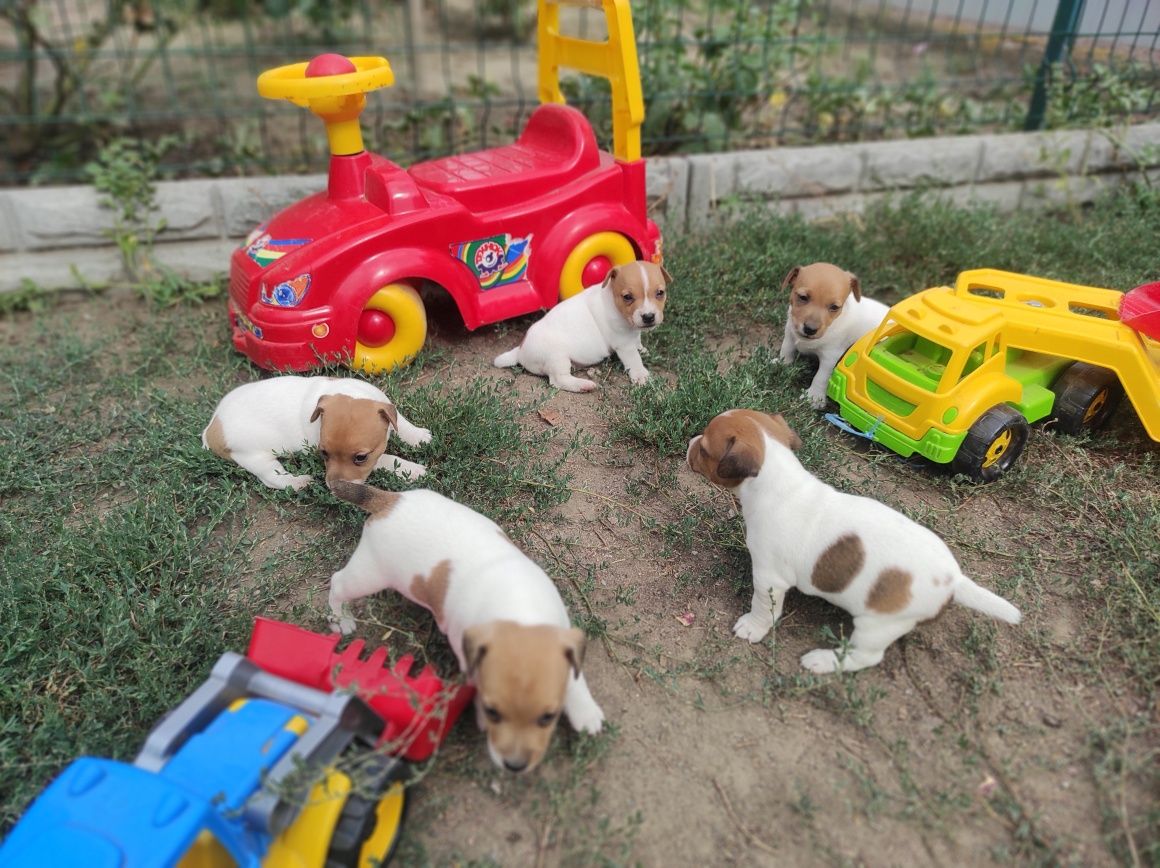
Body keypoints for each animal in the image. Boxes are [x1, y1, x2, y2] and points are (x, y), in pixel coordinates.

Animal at [203, 375, 431, 492]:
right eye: (324, 453)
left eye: (360, 458)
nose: (334, 488)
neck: (352, 394)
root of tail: (211, 429)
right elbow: (385, 459)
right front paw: (411, 469)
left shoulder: (386, 407)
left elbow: (401, 422)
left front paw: (419, 436)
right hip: (255, 457)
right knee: (271, 477)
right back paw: (298, 482)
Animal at [322, 480, 603, 775]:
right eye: (493, 713)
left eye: (548, 717)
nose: (514, 766)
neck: (518, 611)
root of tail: (389, 500)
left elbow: (575, 678)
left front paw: (585, 710)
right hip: (368, 576)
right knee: (338, 583)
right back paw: (340, 618)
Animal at [491, 259, 672, 392]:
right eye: (627, 297)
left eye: (660, 293)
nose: (648, 317)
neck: (613, 300)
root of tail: (520, 351)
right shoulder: (623, 343)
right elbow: (633, 359)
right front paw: (640, 374)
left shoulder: (633, 333)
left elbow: (637, 341)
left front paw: (642, 349)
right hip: (556, 357)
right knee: (558, 380)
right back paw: (583, 385)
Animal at [682, 410, 1020, 673]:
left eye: (705, 450)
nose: (689, 442)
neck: (780, 483)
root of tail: (954, 581)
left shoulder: (770, 578)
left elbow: (763, 608)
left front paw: (753, 627)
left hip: (876, 627)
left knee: (865, 657)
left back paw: (822, 661)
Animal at [779, 261, 886, 410]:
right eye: (803, 297)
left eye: (834, 307)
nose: (810, 329)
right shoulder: (789, 332)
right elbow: (786, 349)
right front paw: (781, 364)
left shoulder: (830, 356)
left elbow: (821, 376)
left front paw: (814, 397)